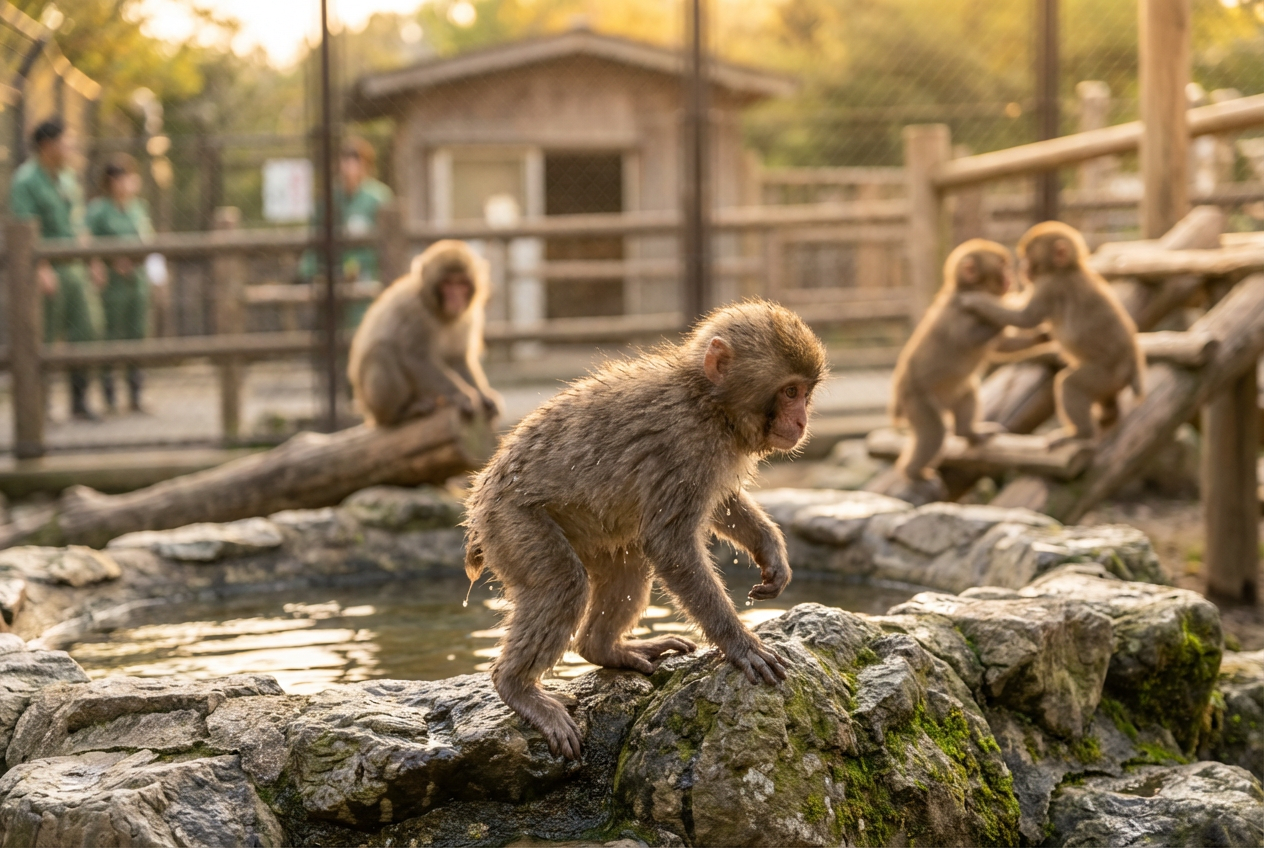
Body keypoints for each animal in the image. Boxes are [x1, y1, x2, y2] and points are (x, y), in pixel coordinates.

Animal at [348, 239, 502, 426]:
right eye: (447, 284)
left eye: (462, 284)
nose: (455, 299)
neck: (441, 313)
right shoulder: (415, 313)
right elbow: (417, 357)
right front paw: (461, 396)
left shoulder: (470, 317)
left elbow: (458, 359)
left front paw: (483, 394)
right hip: (372, 404)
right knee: (381, 351)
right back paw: (402, 412)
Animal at [462, 300, 828, 759]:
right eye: (790, 392)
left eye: (806, 393)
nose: (802, 421)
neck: (708, 402)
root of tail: (480, 498)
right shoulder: (686, 446)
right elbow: (671, 545)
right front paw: (739, 644)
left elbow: (721, 504)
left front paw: (770, 550)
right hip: (509, 521)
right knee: (564, 582)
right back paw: (517, 687)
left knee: (628, 565)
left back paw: (603, 648)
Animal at [888, 239, 1023, 487]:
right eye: (1002, 265)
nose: (1011, 276)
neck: (968, 288)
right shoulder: (958, 314)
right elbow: (972, 338)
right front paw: (1005, 307)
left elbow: (1003, 346)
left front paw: (1044, 337)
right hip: (917, 400)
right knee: (934, 432)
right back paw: (914, 472)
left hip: (955, 391)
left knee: (968, 396)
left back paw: (969, 432)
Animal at [958, 221, 1144, 446]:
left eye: (1029, 258)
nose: (1022, 268)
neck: (1066, 268)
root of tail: (1133, 364)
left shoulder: (1049, 286)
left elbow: (1025, 318)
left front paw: (977, 301)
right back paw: (1108, 416)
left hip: (1108, 375)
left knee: (1071, 384)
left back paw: (1080, 434)